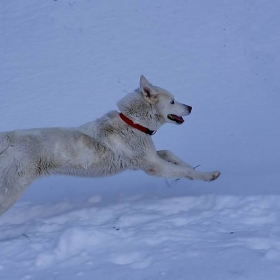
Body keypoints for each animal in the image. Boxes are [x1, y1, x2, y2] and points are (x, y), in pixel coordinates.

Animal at [0, 75, 220, 215]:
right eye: (173, 101)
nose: (190, 107)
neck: (134, 123)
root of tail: (7, 138)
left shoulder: (149, 157)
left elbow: (170, 154)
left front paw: (191, 166)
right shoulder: (152, 166)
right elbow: (184, 171)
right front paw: (208, 176)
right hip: (12, 190)